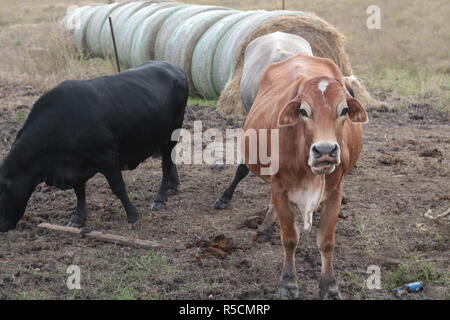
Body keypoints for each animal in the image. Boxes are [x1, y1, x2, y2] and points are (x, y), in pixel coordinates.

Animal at [0, 61, 188, 231]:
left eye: (1, 194)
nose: (2, 228)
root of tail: (173, 67)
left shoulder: (107, 155)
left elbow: (118, 187)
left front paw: (132, 216)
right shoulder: (75, 165)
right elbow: (79, 191)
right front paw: (78, 219)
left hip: (172, 132)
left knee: (166, 164)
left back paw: (160, 198)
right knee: (169, 161)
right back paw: (172, 187)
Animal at [243, 53, 366, 300]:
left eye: (344, 110)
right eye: (303, 111)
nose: (326, 150)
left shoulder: (336, 191)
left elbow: (326, 242)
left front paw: (329, 285)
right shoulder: (280, 187)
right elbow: (290, 237)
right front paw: (289, 283)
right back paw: (265, 228)